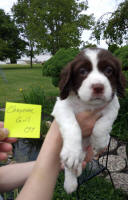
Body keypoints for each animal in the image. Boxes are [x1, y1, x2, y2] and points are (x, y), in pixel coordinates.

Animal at [51, 47, 125, 193]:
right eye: (82, 71)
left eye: (109, 70)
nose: (98, 87)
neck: (88, 104)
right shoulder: (62, 105)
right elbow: (71, 125)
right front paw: (71, 152)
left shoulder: (113, 104)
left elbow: (103, 124)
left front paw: (100, 143)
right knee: (69, 165)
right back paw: (70, 183)